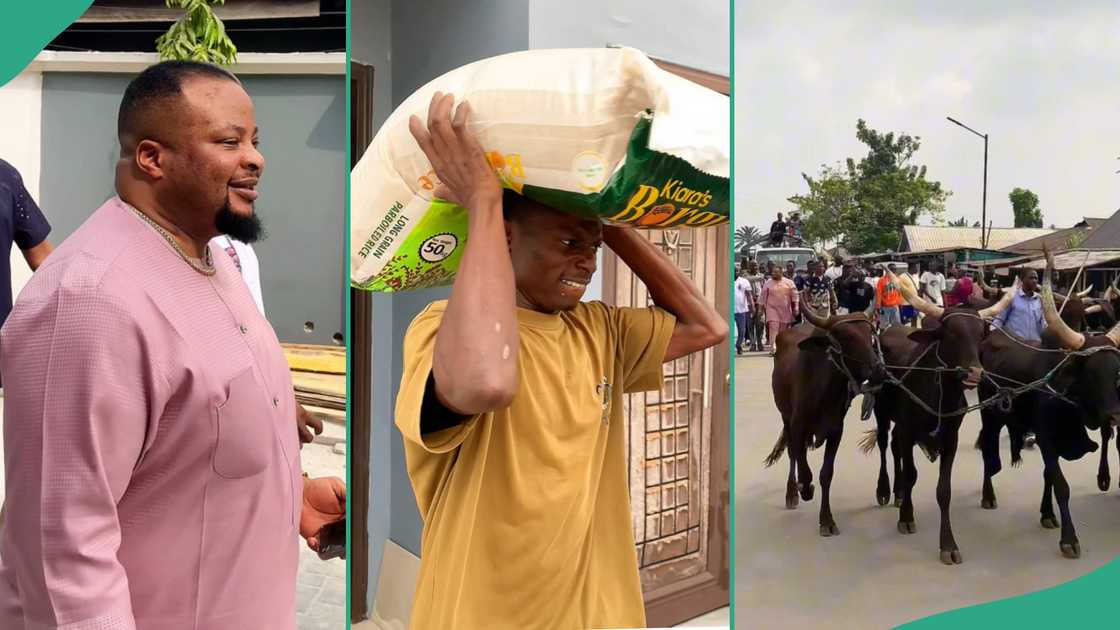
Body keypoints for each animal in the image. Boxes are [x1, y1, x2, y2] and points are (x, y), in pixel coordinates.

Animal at [766, 293, 887, 533]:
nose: (879, 371)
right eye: (846, 339)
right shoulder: (797, 425)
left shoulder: (835, 430)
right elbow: (803, 467)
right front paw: (804, 489)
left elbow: (826, 474)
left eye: (869, 336)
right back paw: (792, 493)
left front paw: (827, 520)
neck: (823, 389)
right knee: (793, 454)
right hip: (785, 417)